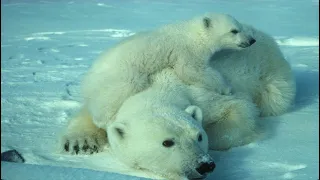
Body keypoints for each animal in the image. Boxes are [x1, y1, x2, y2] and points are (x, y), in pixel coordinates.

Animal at [82, 12, 255, 128]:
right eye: (234, 30)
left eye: (240, 27)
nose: (251, 40)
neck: (193, 34)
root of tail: (87, 79)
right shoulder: (186, 51)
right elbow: (191, 70)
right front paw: (226, 88)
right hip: (121, 75)